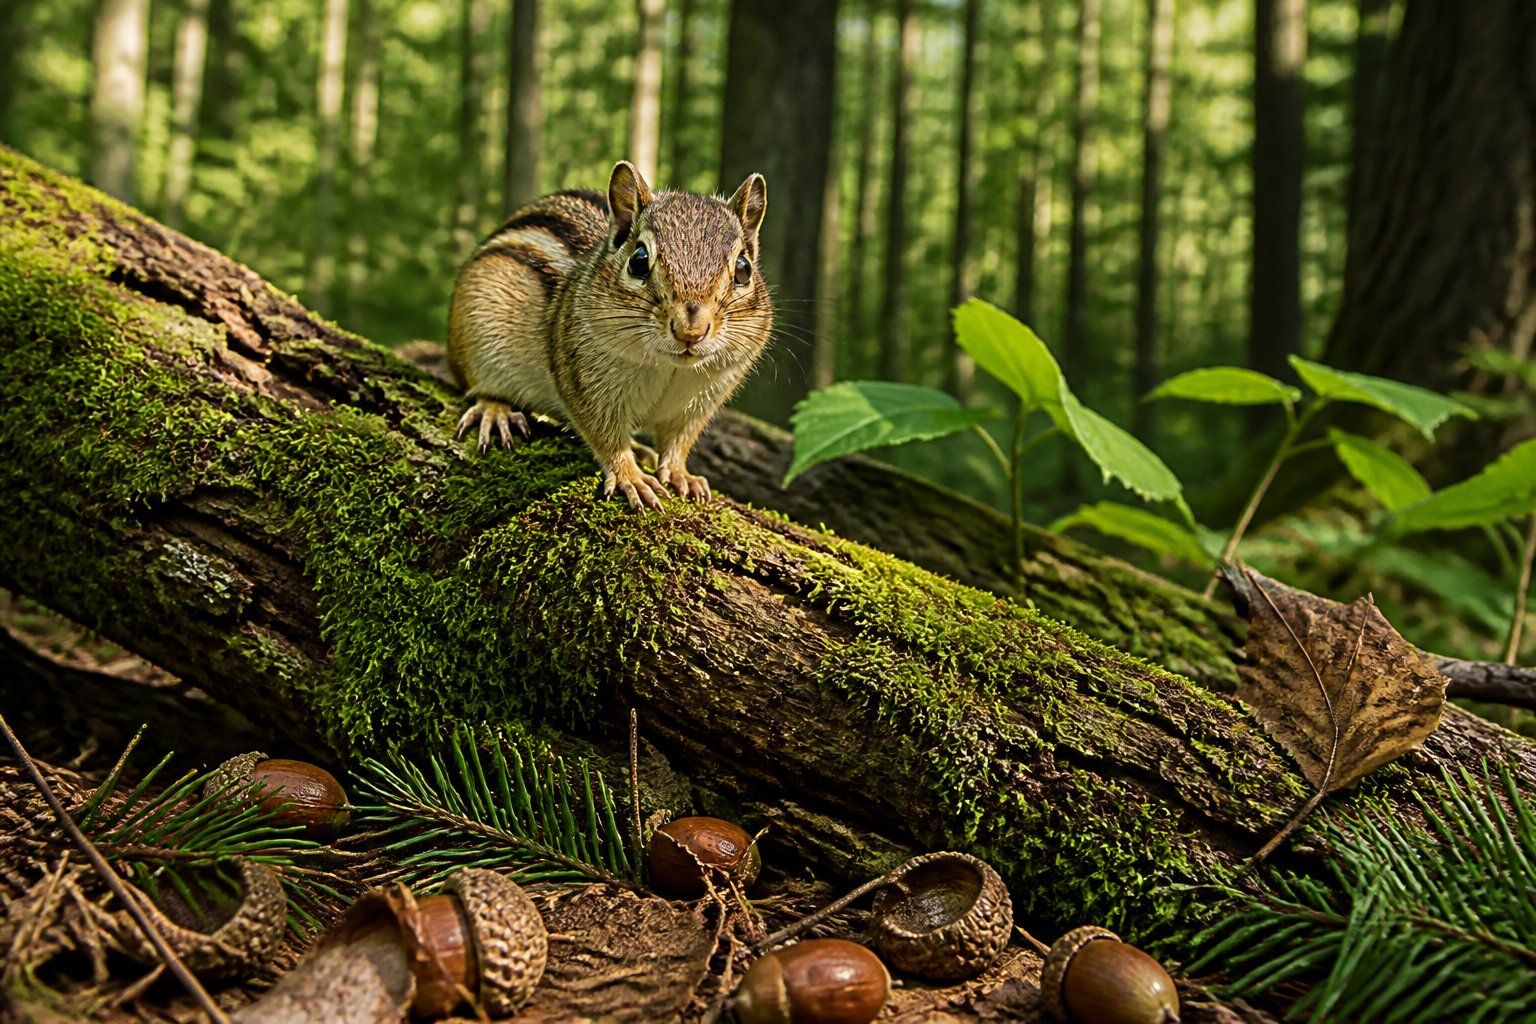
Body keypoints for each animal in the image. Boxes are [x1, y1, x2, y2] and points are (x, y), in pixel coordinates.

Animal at [446, 160, 772, 511]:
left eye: (744, 268)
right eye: (639, 260)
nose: (691, 331)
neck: (669, 368)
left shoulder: (701, 401)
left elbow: (679, 441)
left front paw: (679, 473)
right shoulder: (584, 380)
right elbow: (606, 437)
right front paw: (631, 477)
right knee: (481, 388)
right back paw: (495, 411)